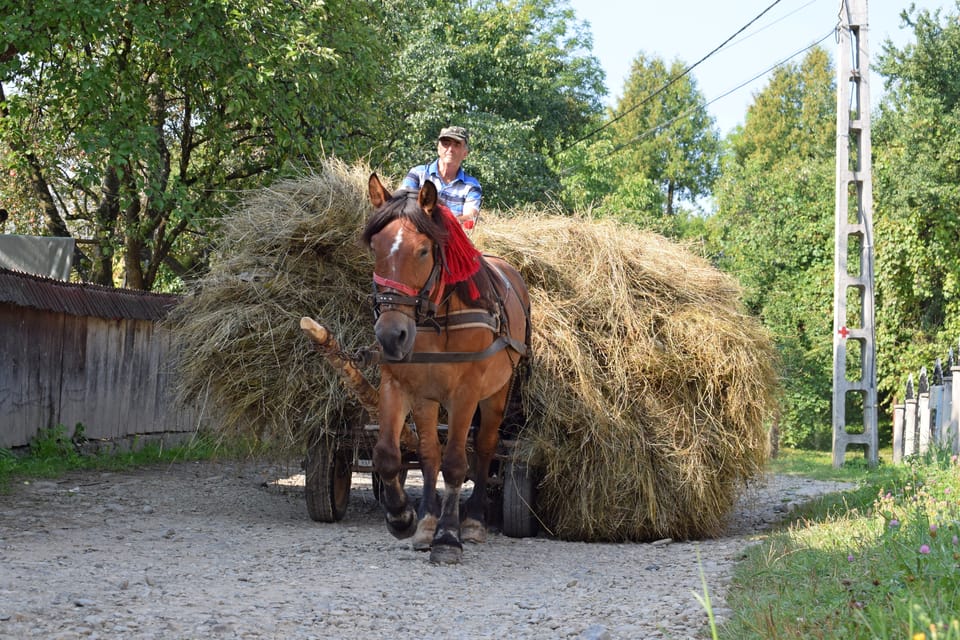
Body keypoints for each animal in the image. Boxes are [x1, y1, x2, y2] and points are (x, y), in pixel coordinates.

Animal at [362, 172, 532, 564]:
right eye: (375, 247)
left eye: (424, 250)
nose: (391, 335)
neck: (435, 317)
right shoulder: (403, 385)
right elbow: (396, 454)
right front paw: (406, 518)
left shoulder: (465, 393)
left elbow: (456, 462)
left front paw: (448, 537)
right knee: (431, 455)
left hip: (497, 394)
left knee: (484, 448)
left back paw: (474, 521)